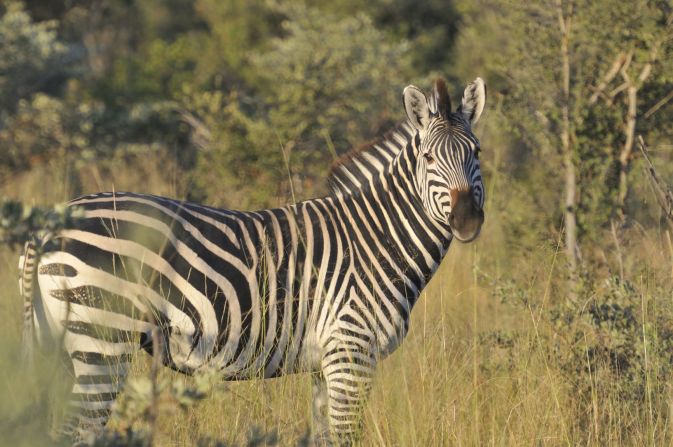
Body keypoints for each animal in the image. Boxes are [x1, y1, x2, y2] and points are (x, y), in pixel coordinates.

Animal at [18, 77, 486, 444]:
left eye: (477, 152)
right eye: (428, 158)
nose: (467, 219)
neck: (377, 237)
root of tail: (49, 223)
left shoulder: (325, 363)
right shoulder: (351, 352)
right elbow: (346, 436)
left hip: (60, 344)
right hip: (103, 341)